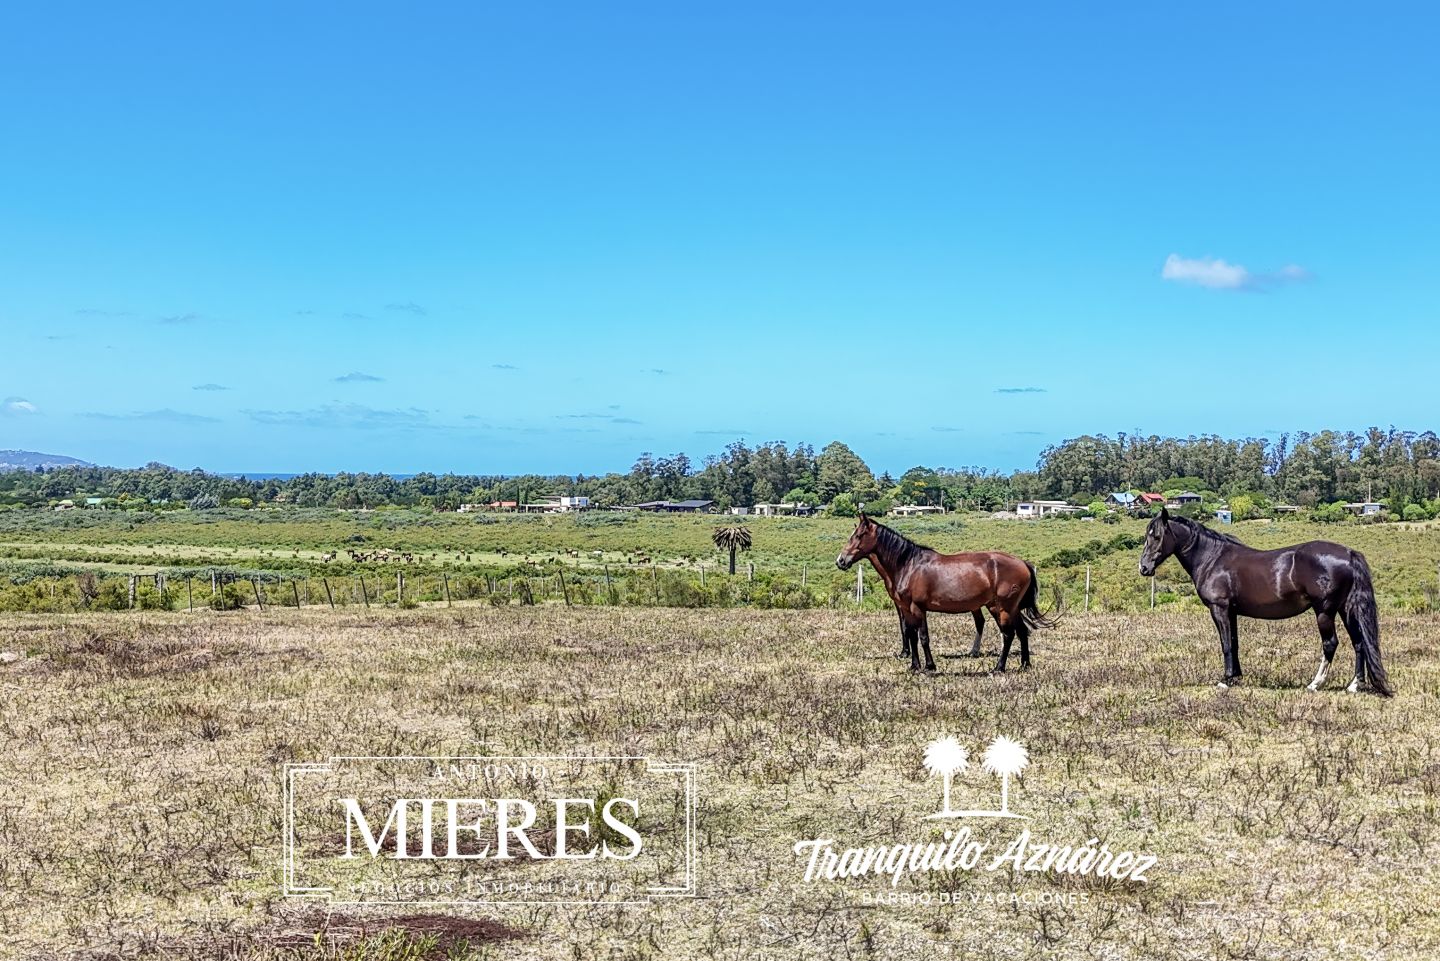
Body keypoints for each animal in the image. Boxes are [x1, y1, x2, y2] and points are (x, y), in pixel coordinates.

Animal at [836, 514, 1059, 672]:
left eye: (859, 536)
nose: (841, 560)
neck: (909, 565)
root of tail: (1023, 563)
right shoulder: (906, 609)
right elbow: (911, 635)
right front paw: (914, 666)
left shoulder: (918, 609)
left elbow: (923, 637)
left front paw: (929, 666)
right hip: (1009, 609)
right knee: (1022, 631)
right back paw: (1024, 665)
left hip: (1001, 608)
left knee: (1008, 634)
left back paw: (999, 667)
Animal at [1138, 508, 1392, 696]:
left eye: (1156, 536)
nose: (1144, 568)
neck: (1212, 559)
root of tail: (1349, 553)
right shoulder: (1231, 612)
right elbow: (1234, 643)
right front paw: (1236, 677)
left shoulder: (1219, 609)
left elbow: (1225, 644)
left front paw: (1225, 680)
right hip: (1346, 609)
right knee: (1359, 643)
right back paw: (1354, 685)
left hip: (1324, 611)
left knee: (1331, 644)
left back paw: (1315, 684)